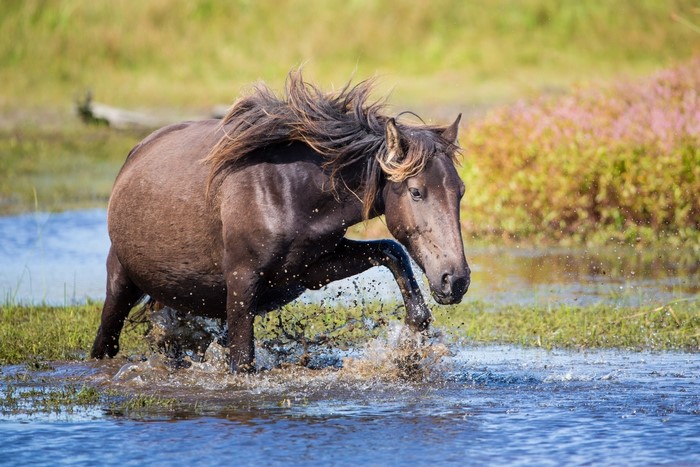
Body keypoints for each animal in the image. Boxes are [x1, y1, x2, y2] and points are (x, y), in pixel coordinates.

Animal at [91, 71, 470, 372]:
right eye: (417, 192)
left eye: (461, 191)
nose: (456, 281)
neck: (289, 191)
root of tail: (136, 153)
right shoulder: (242, 283)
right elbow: (242, 361)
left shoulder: (313, 269)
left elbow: (391, 251)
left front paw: (415, 333)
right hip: (121, 283)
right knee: (104, 344)